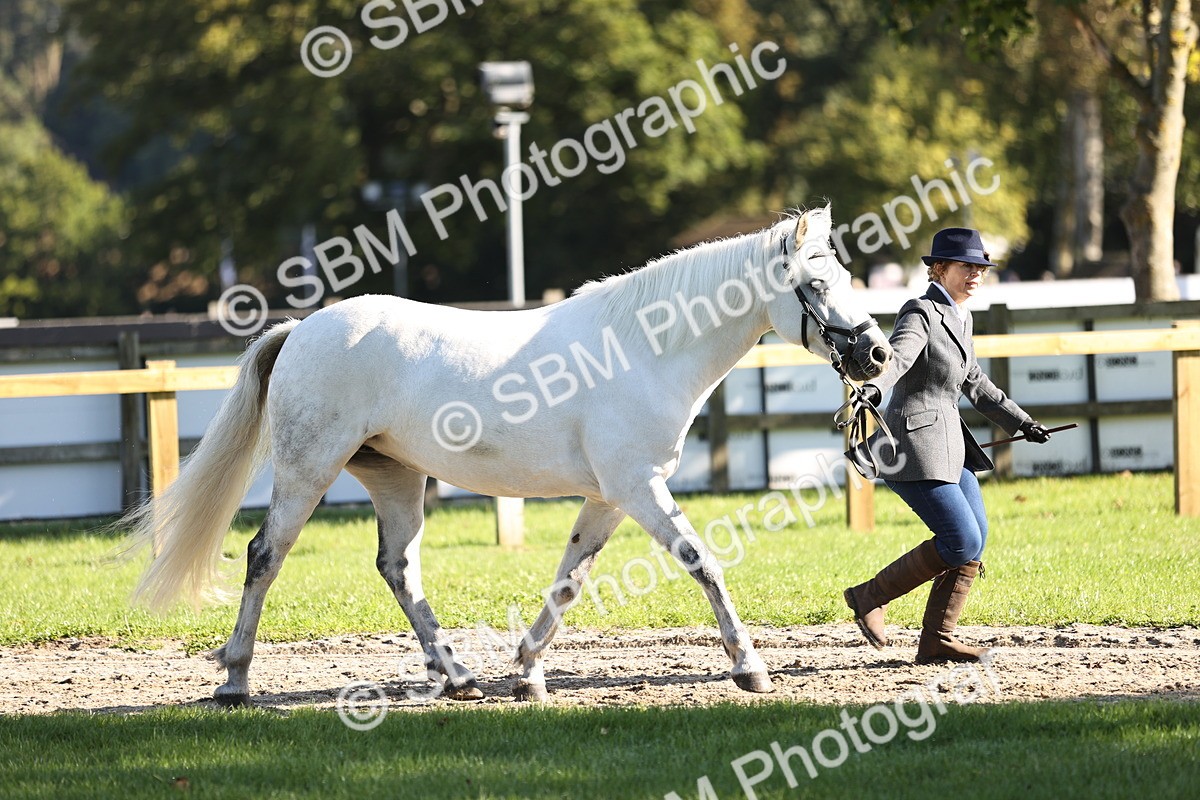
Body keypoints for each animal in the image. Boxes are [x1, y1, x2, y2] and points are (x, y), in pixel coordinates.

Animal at [125, 205, 892, 706]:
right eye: (816, 286)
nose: (877, 354)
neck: (643, 349)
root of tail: (302, 329)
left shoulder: (608, 498)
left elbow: (568, 582)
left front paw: (526, 673)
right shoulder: (637, 487)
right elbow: (702, 561)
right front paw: (749, 667)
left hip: (396, 479)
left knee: (397, 567)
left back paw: (459, 678)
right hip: (306, 471)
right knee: (265, 555)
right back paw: (235, 680)